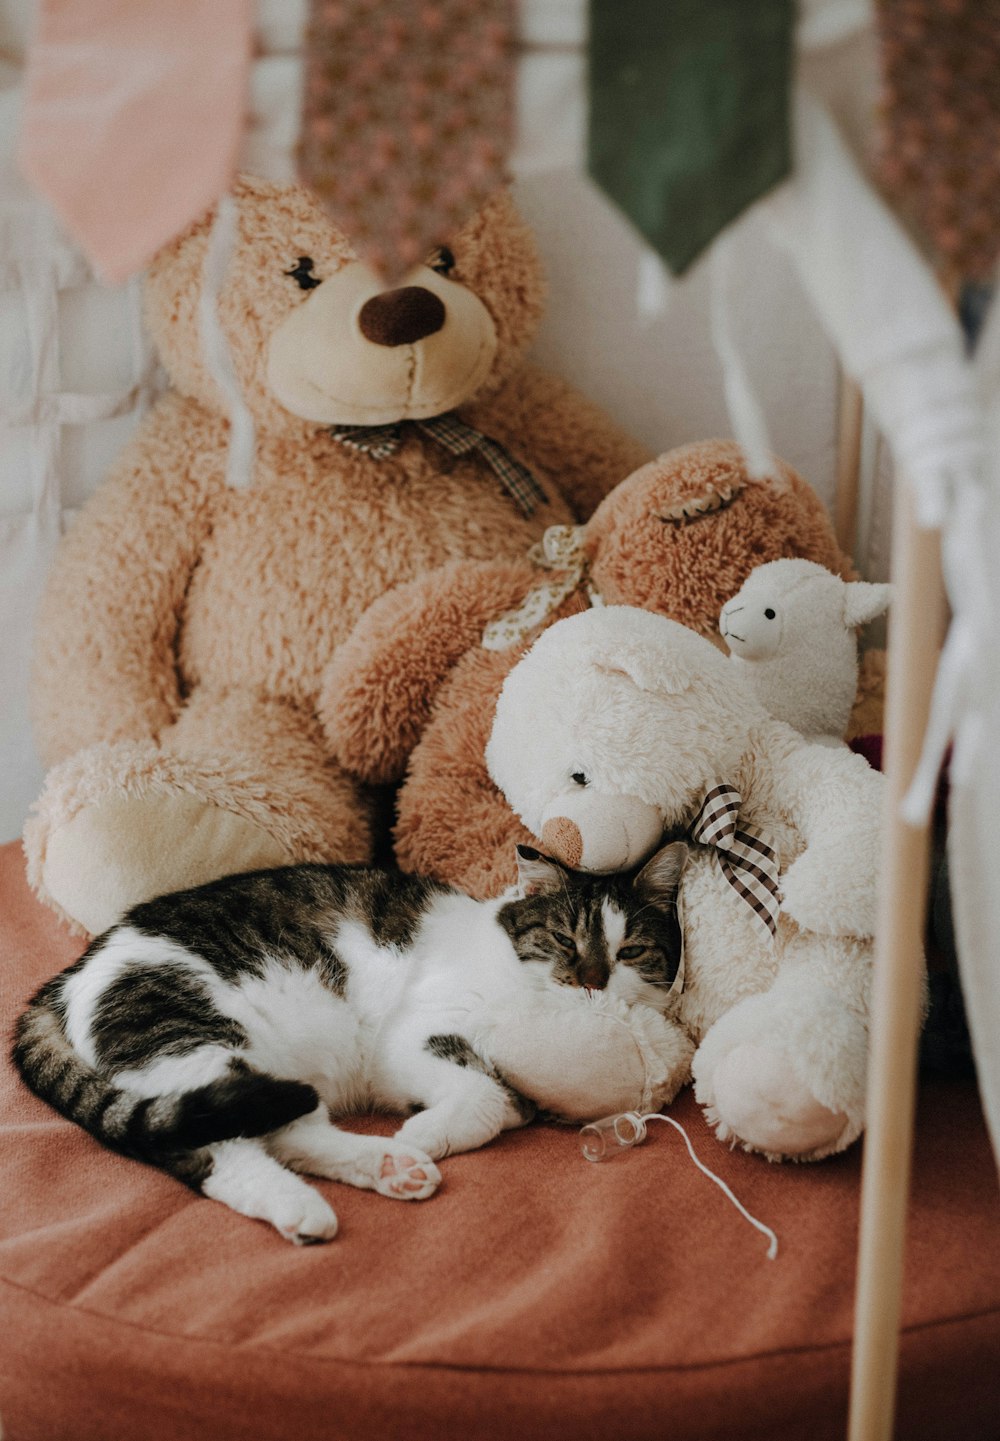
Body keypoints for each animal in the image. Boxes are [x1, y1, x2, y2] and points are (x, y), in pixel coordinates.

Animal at [13, 841, 688, 1239]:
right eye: (564, 940)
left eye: (631, 951)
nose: (591, 982)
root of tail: (65, 978)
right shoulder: (411, 1035)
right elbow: (487, 1095)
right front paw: (425, 1131)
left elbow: (503, 1097)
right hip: (187, 1033)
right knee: (218, 1144)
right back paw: (311, 1199)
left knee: (288, 1130)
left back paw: (386, 1166)